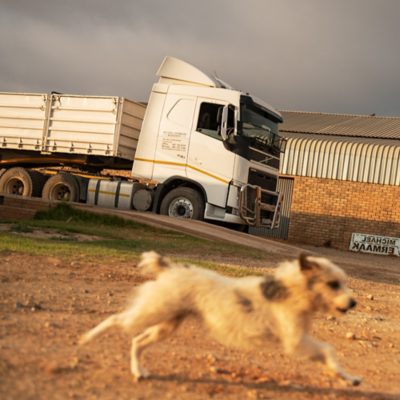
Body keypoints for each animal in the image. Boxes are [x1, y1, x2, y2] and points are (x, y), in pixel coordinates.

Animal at [79, 252, 360, 386]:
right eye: (333, 284)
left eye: (343, 283)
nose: (354, 303)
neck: (291, 289)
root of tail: (169, 269)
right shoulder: (296, 342)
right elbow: (328, 349)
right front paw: (346, 376)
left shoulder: (301, 340)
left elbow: (328, 356)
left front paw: (348, 378)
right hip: (151, 312)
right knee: (115, 320)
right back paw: (86, 339)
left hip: (166, 325)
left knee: (137, 341)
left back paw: (139, 371)